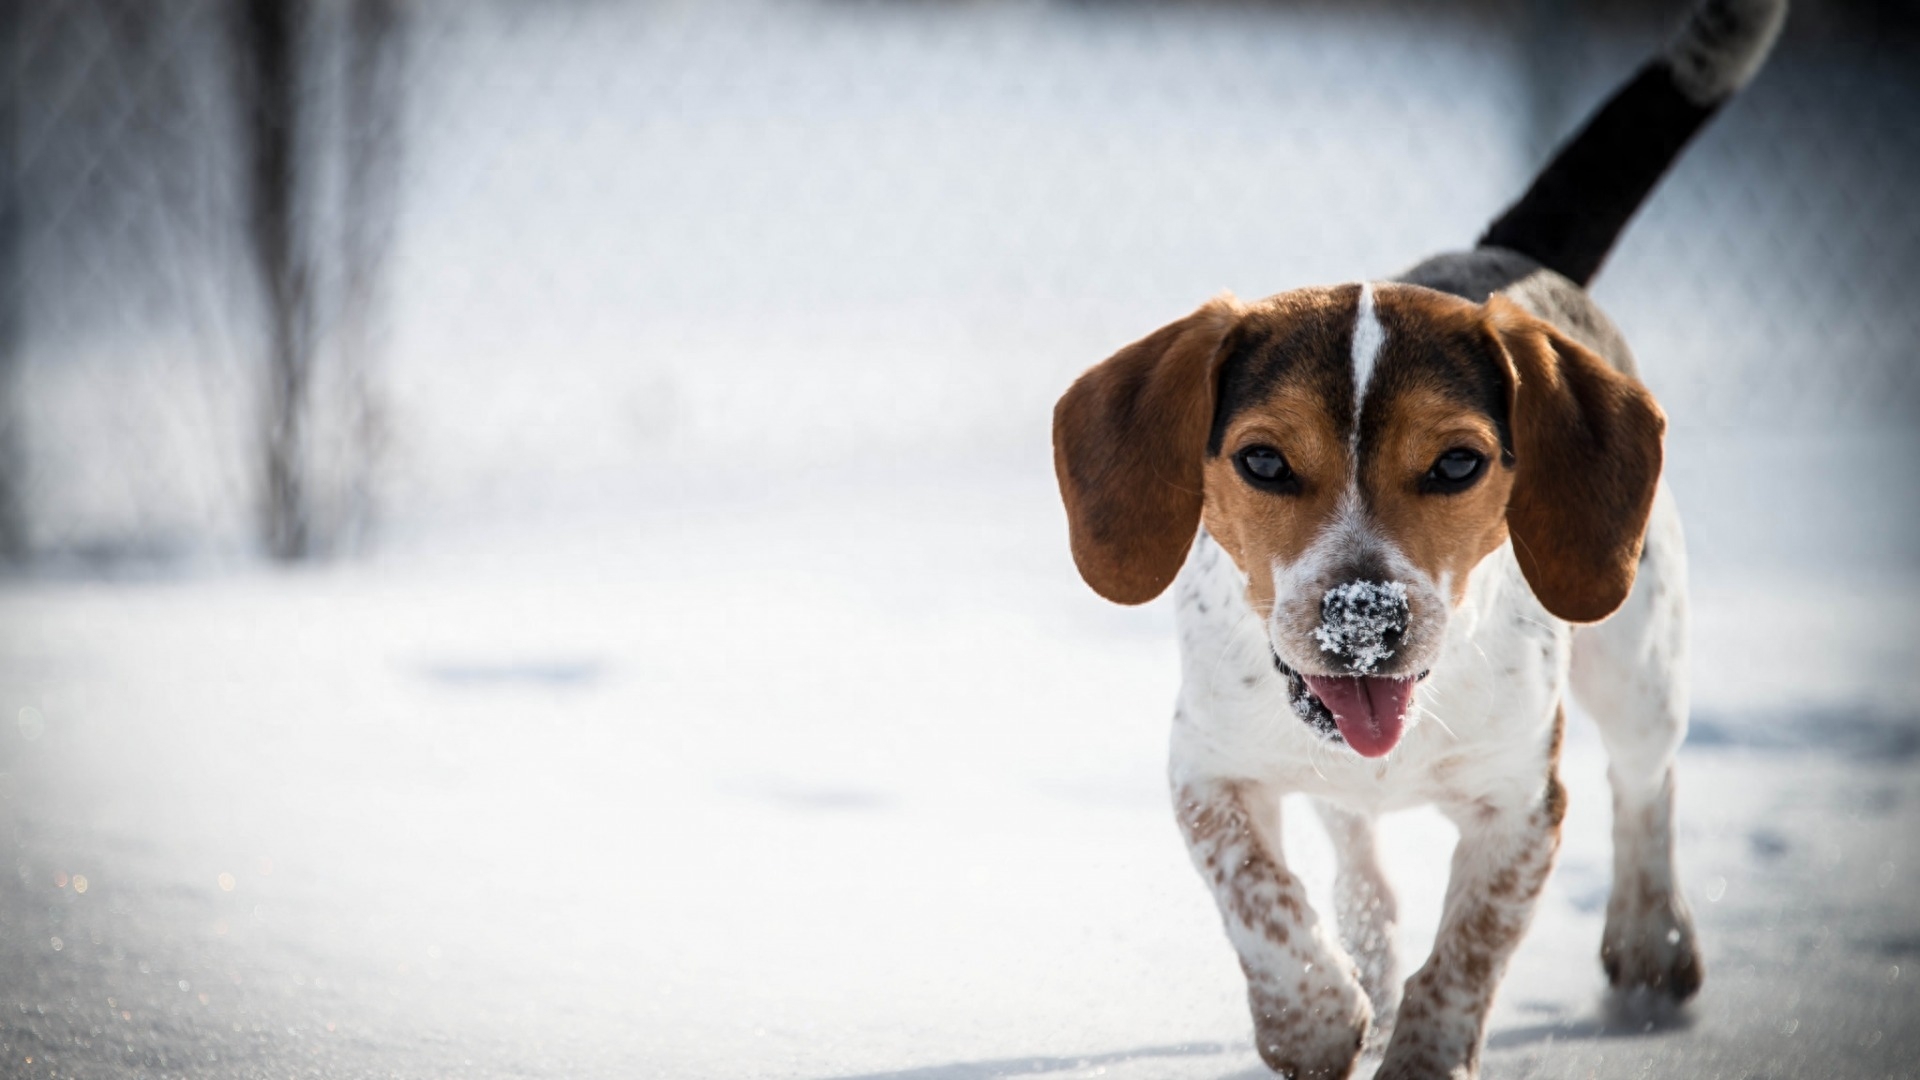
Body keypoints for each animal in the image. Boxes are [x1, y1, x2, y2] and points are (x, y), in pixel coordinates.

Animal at [1052, 4, 1781, 1068]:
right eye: (1263, 460)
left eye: (1456, 464)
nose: (1365, 621)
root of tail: (1506, 258)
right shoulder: (1208, 771)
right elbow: (1262, 901)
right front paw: (1315, 1016)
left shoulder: (1522, 806)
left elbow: (1466, 957)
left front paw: (1421, 1045)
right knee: (1354, 842)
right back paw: (1367, 947)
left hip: (1642, 656)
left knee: (1646, 784)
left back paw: (1652, 938)